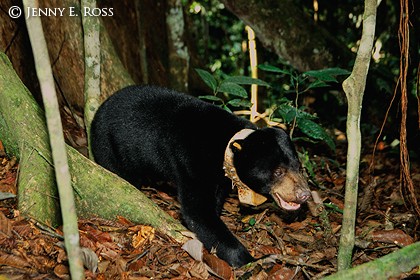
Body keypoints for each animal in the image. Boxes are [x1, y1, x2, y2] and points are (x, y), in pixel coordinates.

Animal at [90, 85, 310, 266]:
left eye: (298, 167)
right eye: (278, 171)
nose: (304, 194)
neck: (226, 147)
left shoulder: (219, 177)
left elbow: (215, 200)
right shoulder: (191, 161)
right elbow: (198, 213)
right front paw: (254, 260)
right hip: (107, 145)